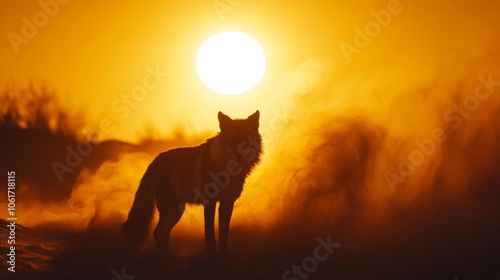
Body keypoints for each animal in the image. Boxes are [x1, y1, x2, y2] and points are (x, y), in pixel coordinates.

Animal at [122, 110, 262, 253]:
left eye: (245, 139)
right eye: (231, 139)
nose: (238, 155)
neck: (226, 168)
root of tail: (153, 162)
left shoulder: (227, 203)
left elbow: (224, 235)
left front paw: (223, 253)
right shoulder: (210, 202)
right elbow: (209, 234)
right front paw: (210, 252)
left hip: (176, 210)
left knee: (160, 233)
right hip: (170, 209)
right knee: (158, 232)